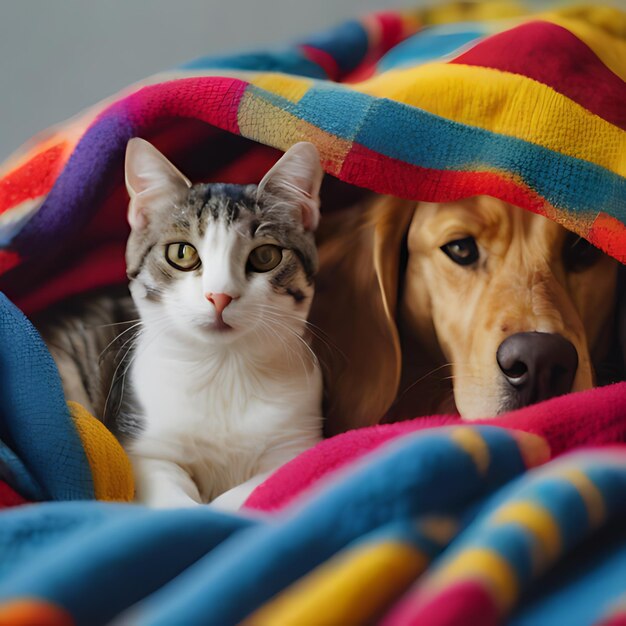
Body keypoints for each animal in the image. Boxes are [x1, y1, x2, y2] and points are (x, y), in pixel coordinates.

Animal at [38, 136, 324, 508]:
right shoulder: (145, 451)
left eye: (265, 256)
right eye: (182, 253)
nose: (220, 295)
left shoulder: (295, 444)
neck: (224, 369)